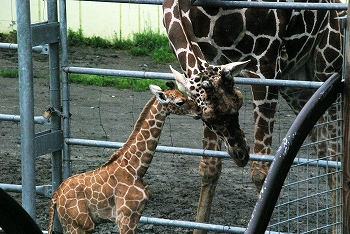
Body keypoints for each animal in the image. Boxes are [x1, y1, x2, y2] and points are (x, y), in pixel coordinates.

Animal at [47, 81, 200, 233]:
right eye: (180, 101)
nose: (199, 111)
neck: (136, 169)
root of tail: (55, 196)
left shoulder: (136, 216)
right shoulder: (126, 217)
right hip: (78, 225)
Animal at [164, 0, 344, 232]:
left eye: (239, 102)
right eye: (204, 117)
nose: (240, 154)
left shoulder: (264, 62)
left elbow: (261, 170)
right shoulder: (206, 58)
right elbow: (209, 166)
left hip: (327, 68)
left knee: (336, 153)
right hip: (297, 84)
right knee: (325, 151)